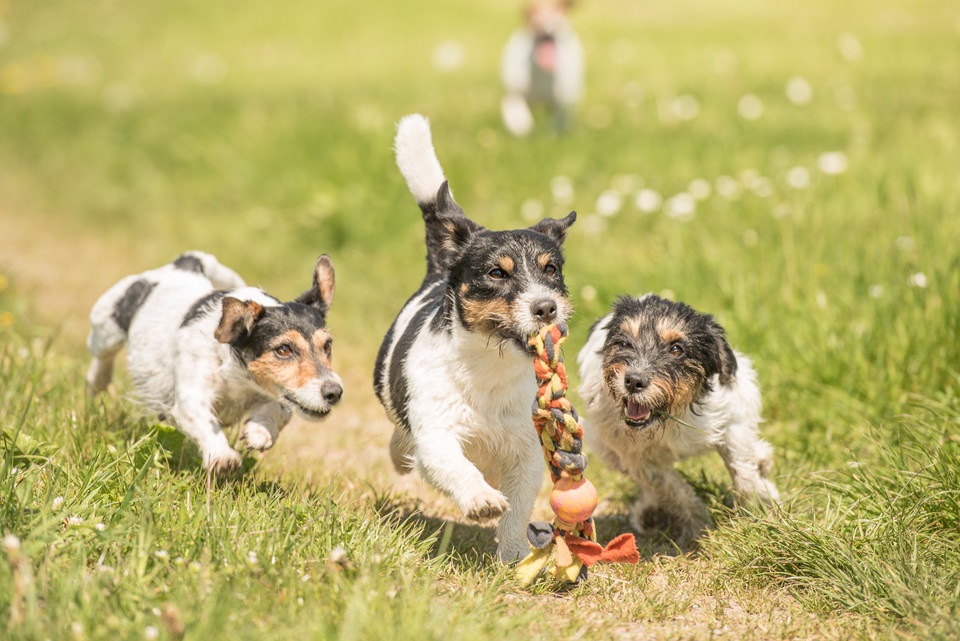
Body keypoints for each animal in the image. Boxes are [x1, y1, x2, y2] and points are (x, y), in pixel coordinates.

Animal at [85, 252, 342, 472]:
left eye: (328, 345)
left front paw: (260, 432)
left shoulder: (283, 398)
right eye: (284, 349)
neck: (239, 380)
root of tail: (183, 264)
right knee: (100, 360)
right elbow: (207, 424)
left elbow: (274, 409)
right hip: (106, 329)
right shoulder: (191, 397)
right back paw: (97, 384)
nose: (335, 392)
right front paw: (222, 456)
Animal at [376, 115, 576, 560]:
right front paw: (480, 499)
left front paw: (515, 552)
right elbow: (453, 464)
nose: (546, 308)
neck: (491, 366)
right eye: (496, 273)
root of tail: (440, 266)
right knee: (402, 439)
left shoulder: (525, 450)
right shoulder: (436, 433)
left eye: (551, 269)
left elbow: (518, 507)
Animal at [502, 0, 584, 136]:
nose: (547, 29)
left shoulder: (562, 102)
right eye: (535, 20)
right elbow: (517, 112)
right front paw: (521, 126)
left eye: (557, 17)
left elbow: (559, 119)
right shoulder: (515, 94)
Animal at [572, 292, 776, 544]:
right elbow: (675, 491)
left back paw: (762, 459)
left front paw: (759, 503)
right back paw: (650, 512)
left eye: (676, 349)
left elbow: (742, 468)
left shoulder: (731, 417)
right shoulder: (640, 460)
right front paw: (698, 527)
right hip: (604, 447)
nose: (633, 381)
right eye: (623, 343)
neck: (670, 415)